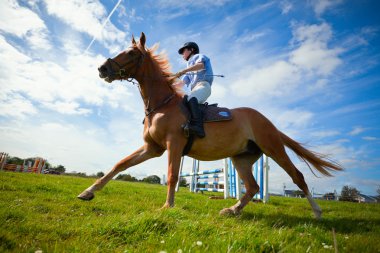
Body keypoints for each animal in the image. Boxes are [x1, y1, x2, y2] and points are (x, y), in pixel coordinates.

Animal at [76, 32, 342, 219]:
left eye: (131, 53)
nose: (102, 68)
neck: (162, 105)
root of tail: (268, 122)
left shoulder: (173, 145)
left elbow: (172, 175)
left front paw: (167, 206)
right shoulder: (152, 148)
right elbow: (120, 164)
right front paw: (88, 192)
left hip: (273, 148)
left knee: (297, 177)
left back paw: (317, 212)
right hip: (242, 158)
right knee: (252, 187)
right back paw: (232, 210)